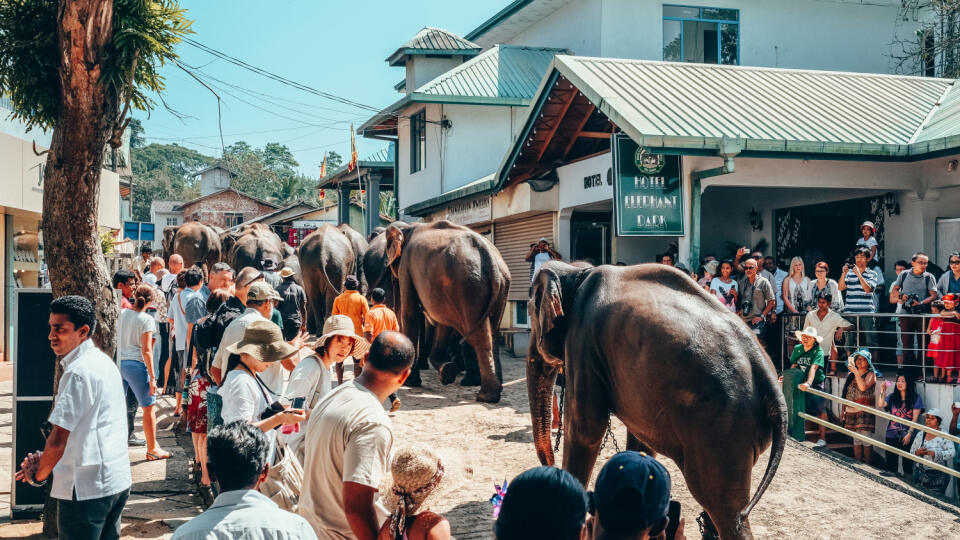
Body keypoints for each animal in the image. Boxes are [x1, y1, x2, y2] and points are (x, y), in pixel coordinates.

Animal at [382, 219, 510, 400]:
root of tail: (487, 254)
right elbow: (442, 323)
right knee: (494, 333)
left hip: (467, 285)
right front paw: (447, 372)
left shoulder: (406, 268)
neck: (409, 226)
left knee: (480, 337)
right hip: (499, 287)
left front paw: (411, 382)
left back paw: (485, 396)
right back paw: (486, 387)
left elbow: (410, 314)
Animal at [524, 260, 788, 536]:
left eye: (530, 311)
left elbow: (585, 429)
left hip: (723, 430)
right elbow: (641, 442)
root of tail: (772, 383)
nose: (550, 462)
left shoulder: (583, 340)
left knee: (723, 505)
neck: (578, 271)